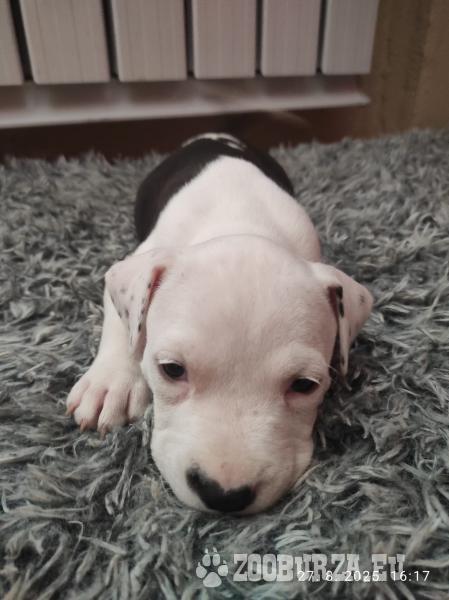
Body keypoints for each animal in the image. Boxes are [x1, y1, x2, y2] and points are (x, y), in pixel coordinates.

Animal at [67, 133, 373, 514]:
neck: (239, 220)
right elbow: (123, 324)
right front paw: (110, 385)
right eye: (171, 370)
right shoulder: (136, 264)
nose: (224, 495)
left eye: (305, 385)